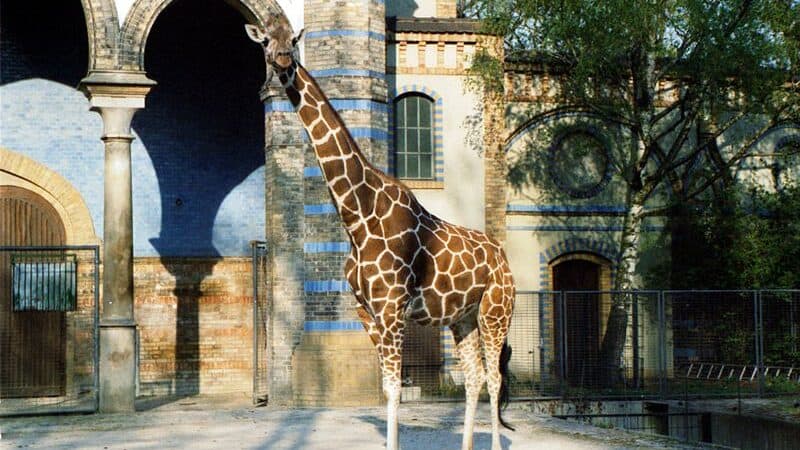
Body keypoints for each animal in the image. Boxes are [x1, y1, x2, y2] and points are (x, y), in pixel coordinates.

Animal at [246, 17, 516, 450]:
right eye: (266, 40)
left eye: (294, 39)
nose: (284, 60)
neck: (357, 217)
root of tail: (502, 255)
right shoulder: (365, 310)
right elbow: (390, 389)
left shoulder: (392, 308)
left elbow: (393, 390)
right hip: (462, 317)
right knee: (474, 378)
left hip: (496, 311)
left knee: (493, 377)